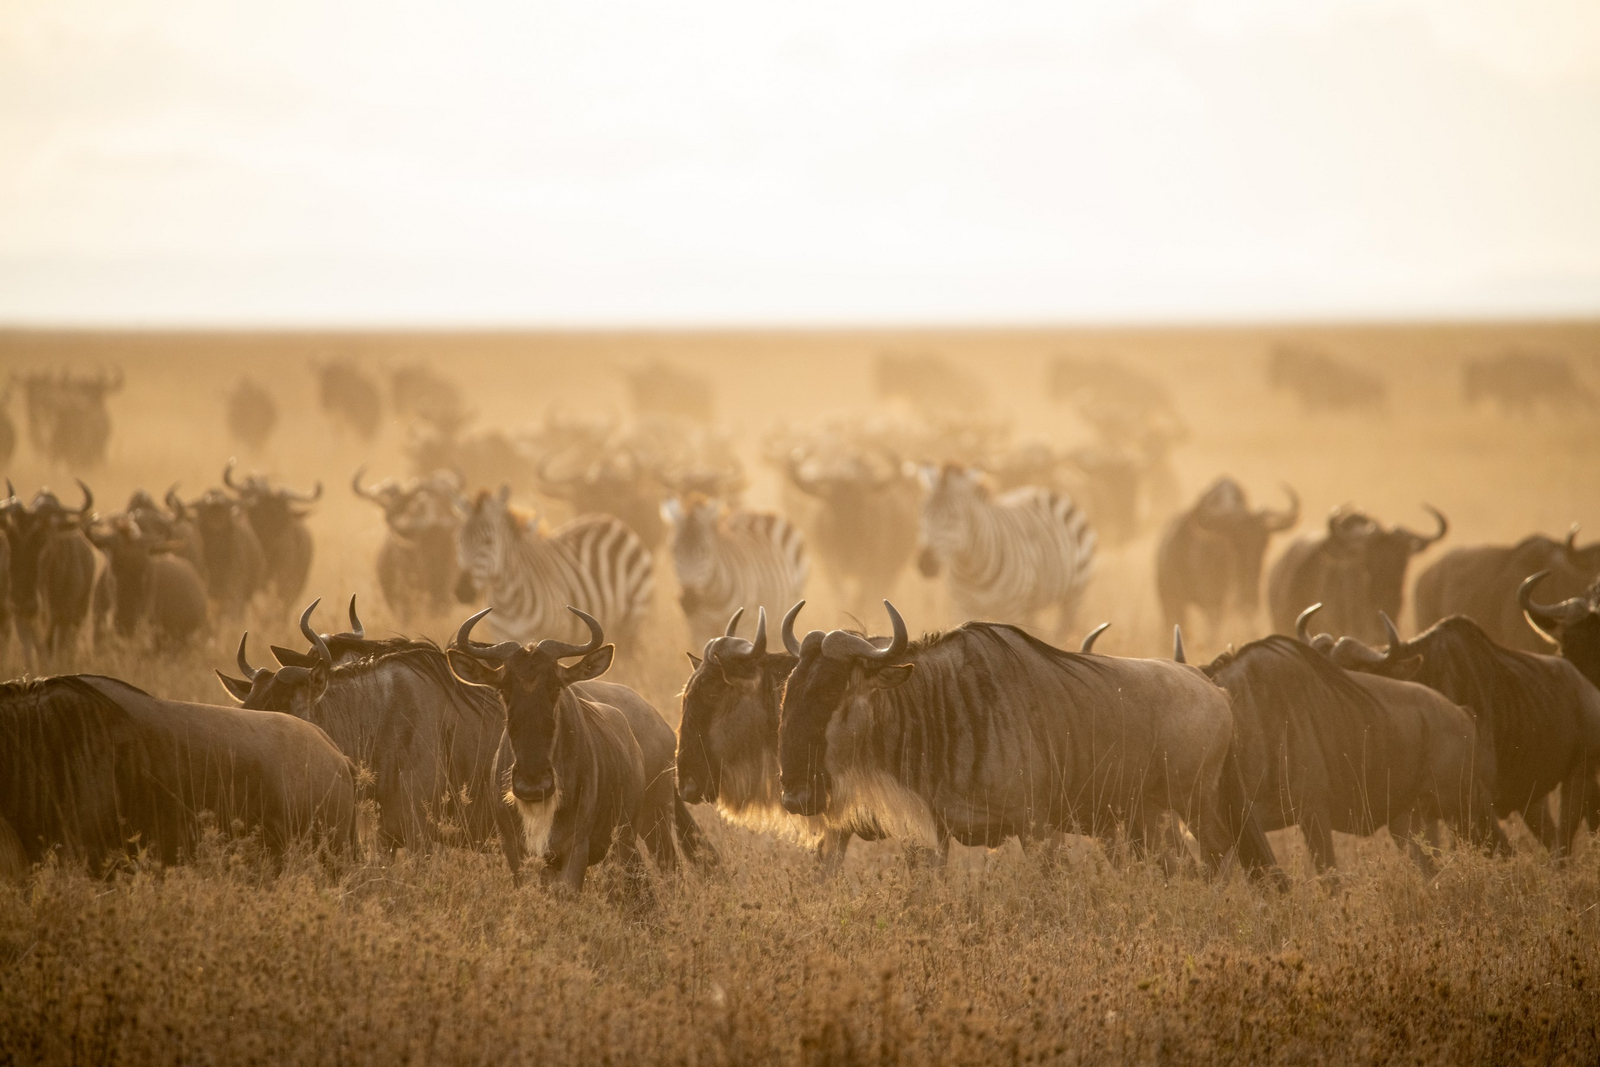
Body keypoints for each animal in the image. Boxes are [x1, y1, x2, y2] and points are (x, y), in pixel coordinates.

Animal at [453, 486, 654, 647]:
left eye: (488, 541)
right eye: (460, 540)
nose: (462, 592)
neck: (507, 602)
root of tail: (613, 520)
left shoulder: (556, 634)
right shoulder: (501, 638)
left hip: (632, 617)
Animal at [661, 495, 808, 649]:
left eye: (705, 551)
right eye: (674, 551)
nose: (688, 601)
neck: (713, 601)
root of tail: (758, 512)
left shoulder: (744, 627)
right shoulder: (698, 630)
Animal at [915, 463, 1096, 637]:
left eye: (954, 516)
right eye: (924, 513)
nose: (926, 564)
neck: (973, 572)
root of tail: (1040, 489)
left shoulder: (1013, 611)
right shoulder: (962, 608)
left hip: (1074, 596)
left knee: (1063, 632)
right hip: (1032, 605)